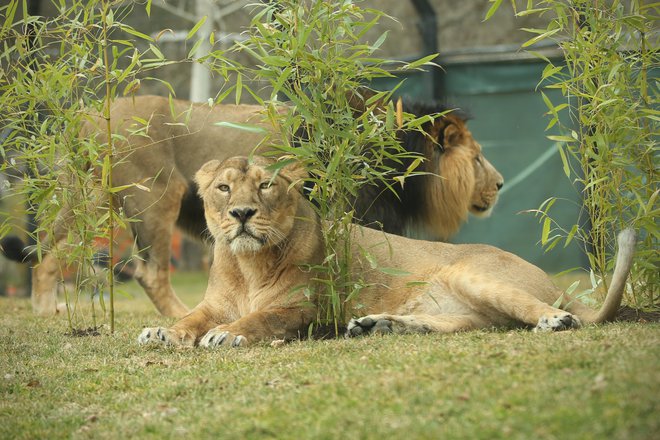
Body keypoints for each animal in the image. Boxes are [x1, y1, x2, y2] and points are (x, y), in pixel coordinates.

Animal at [2, 94, 502, 318]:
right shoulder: (355, 214)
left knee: (46, 252)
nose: (499, 183)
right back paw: (180, 317)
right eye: (478, 158)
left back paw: (46, 311)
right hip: (157, 195)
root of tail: (88, 116)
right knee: (149, 272)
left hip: (88, 200)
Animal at [135, 156, 636, 348]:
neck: (247, 264)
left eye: (266, 185)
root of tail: (554, 285)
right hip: (463, 310)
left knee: (540, 310)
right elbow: (189, 318)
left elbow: (260, 319)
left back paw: (557, 320)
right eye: (223, 188)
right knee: (461, 324)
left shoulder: (306, 308)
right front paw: (161, 332)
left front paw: (227, 334)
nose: (241, 213)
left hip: (468, 273)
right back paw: (377, 325)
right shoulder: (212, 303)